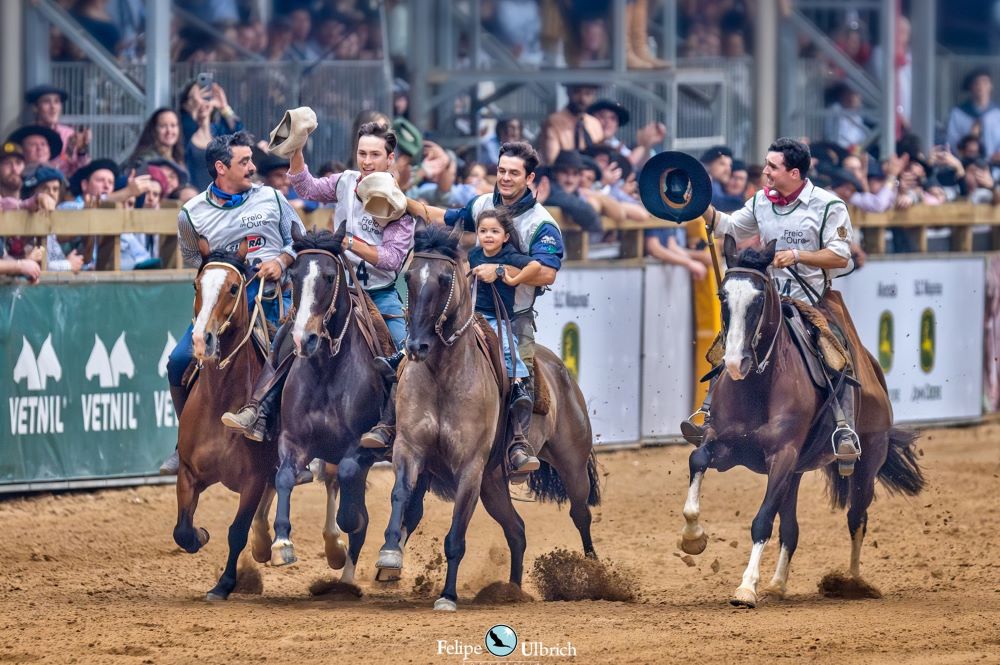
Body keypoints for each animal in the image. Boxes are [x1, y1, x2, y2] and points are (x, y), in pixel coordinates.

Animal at [170, 240, 276, 600]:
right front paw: (200, 534)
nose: (202, 340)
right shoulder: (189, 473)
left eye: (232, 288)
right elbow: (182, 530)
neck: (219, 402)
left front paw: (224, 584)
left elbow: (236, 532)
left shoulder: (254, 479)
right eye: (196, 285)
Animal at [266, 226, 386, 584]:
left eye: (330, 277)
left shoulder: (360, 449)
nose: (303, 339)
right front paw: (282, 544)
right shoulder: (293, 440)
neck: (326, 372)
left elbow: (354, 508)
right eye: (294, 275)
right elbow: (284, 478)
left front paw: (341, 541)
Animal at [372, 224, 596, 612]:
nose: (415, 346)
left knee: (580, 514)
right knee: (517, 530)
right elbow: (400, 496)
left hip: (571, 464)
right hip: (493, 483)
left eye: (444, 278)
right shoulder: (410, 451)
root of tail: (561, 371)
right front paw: (389, 555)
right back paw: (513, 590)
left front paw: (447, 596)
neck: (442, 376)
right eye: (410, 276)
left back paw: (597, 574)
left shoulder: (470, 468)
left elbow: (456, 535)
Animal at [676, 235, 924, 608]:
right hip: (795, 474)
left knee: (857, 518)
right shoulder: (726, 444)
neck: (758, 386)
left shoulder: (783, 455)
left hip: (866, 464)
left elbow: (762, 521)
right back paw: (778, 584)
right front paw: (693, 537)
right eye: (722, 295)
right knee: (791, 529)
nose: (734, 362)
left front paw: (746, 587)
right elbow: (698, 459)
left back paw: (852, 582)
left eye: (759, 297)